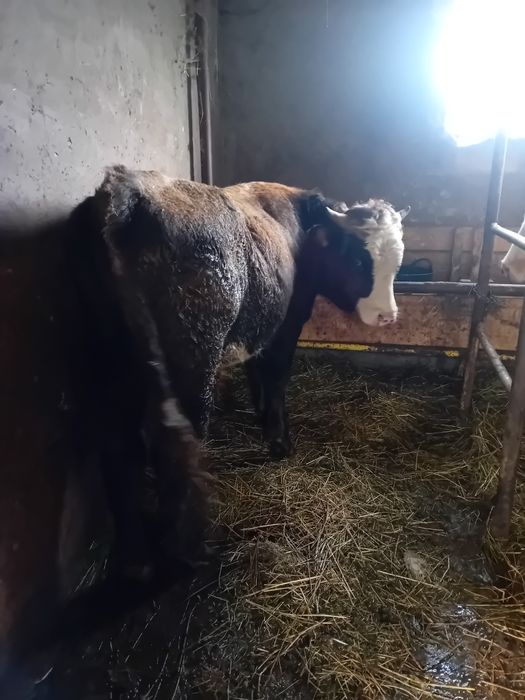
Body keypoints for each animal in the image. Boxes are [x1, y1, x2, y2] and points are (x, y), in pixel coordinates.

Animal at [66, 165, 409, 578]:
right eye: (359, 261)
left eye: (397, 263)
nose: (388, 316)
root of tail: (129, 190)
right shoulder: (286, 323)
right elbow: (275, 375)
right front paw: (279, 442)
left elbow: (256, 372)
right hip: (192, 360)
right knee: (177, 448)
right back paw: (190, 552)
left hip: (109, 363)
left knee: (119, 449)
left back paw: (135, 557)